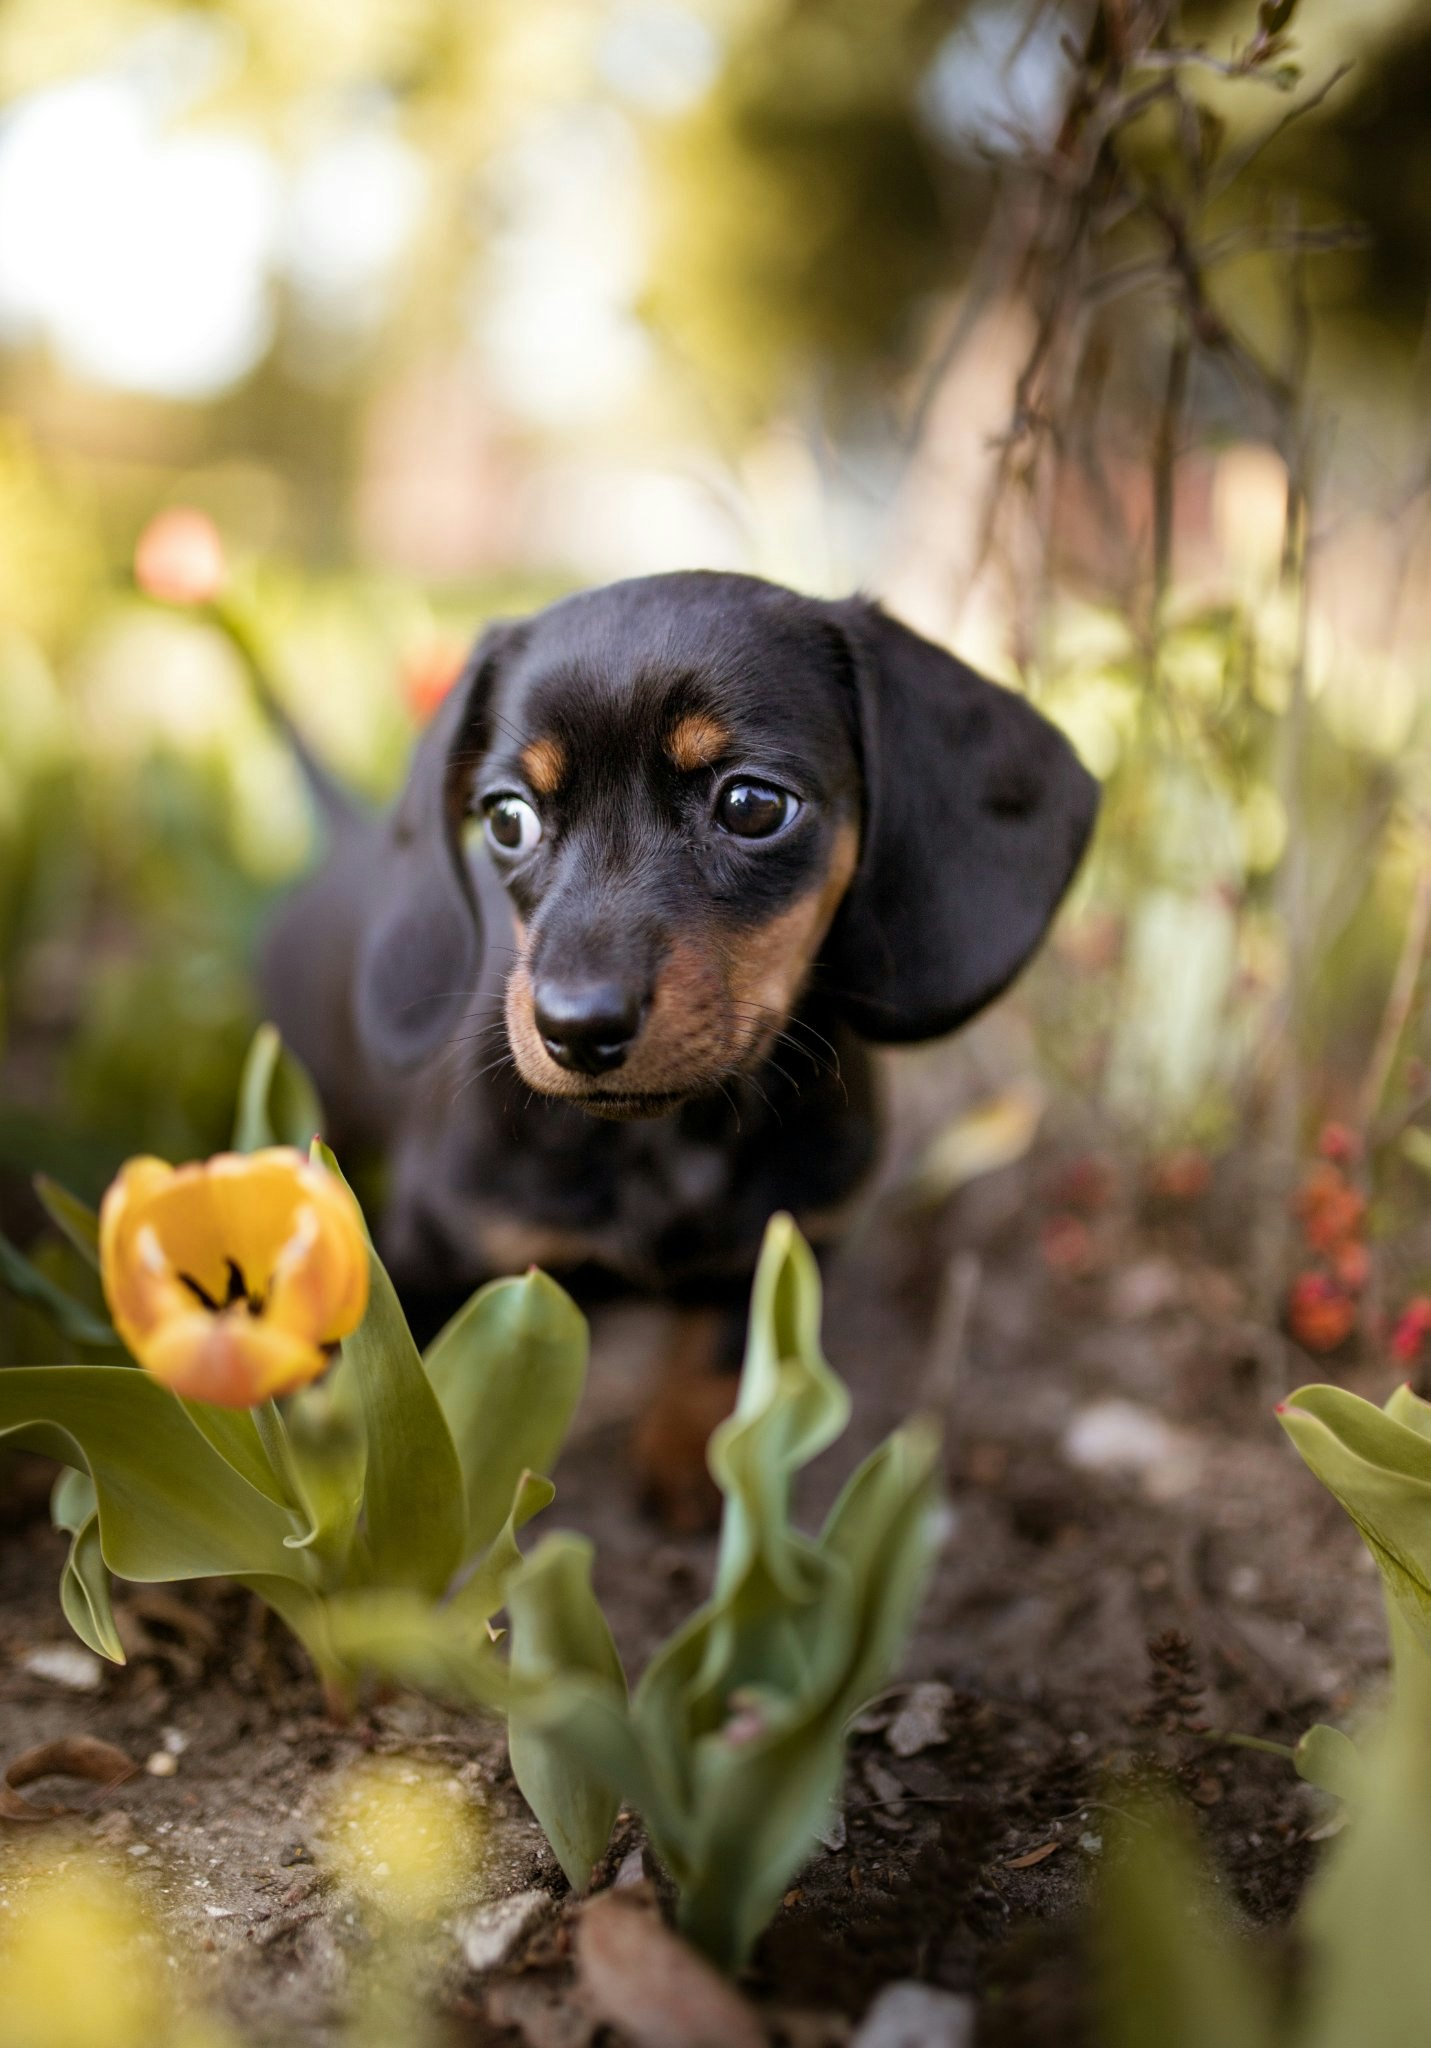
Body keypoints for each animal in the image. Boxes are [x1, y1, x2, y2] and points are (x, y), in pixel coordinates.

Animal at [266, 577, 1097, 1523]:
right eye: (507, 818)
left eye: (752, 804)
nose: (575, 1026)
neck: (666, 1142)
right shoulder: (433, 1254)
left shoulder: (787, 1238)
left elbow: (716, 1357)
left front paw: (696, 1476)